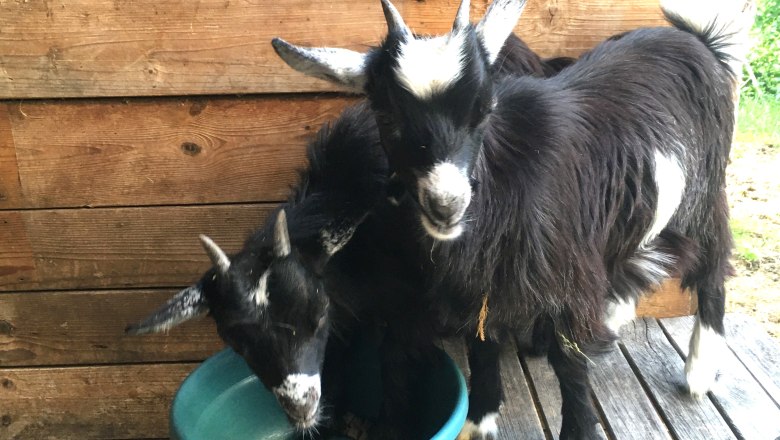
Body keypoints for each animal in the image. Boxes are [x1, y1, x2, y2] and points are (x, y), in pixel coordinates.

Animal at [273, 0, 748, 438]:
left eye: (484, 109)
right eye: (386, 116)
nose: (446, 204)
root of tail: (699, 42)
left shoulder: (565, 283)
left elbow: (569, 364)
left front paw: (577, 428)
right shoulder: (476, 288)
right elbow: (482, 350)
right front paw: (478, 422)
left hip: (706, 193)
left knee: (712, 265)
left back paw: (699, 370)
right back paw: (615, 319)